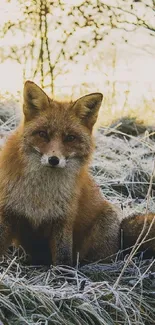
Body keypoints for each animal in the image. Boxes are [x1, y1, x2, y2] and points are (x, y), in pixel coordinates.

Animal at [0, 79, 154, 264]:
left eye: (70, 138)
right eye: (43, 134)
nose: (54, 160)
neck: (41, 193)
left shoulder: (64, 218)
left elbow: (63, 256)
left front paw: (63, 271)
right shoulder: (7, 212)